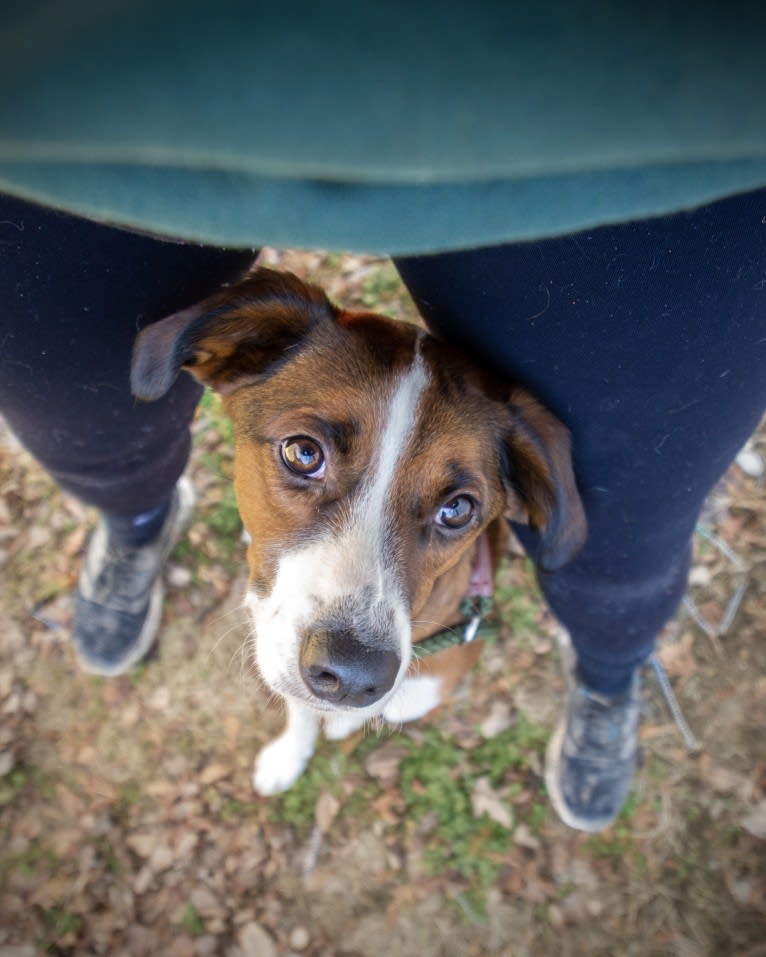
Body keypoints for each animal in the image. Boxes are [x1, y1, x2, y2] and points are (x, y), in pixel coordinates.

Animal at [132, 268, 588, 792]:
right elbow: (300, 709)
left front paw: (342, 723)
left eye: (457, 509)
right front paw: (289, 757)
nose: (353, 677)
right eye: (303, 453)